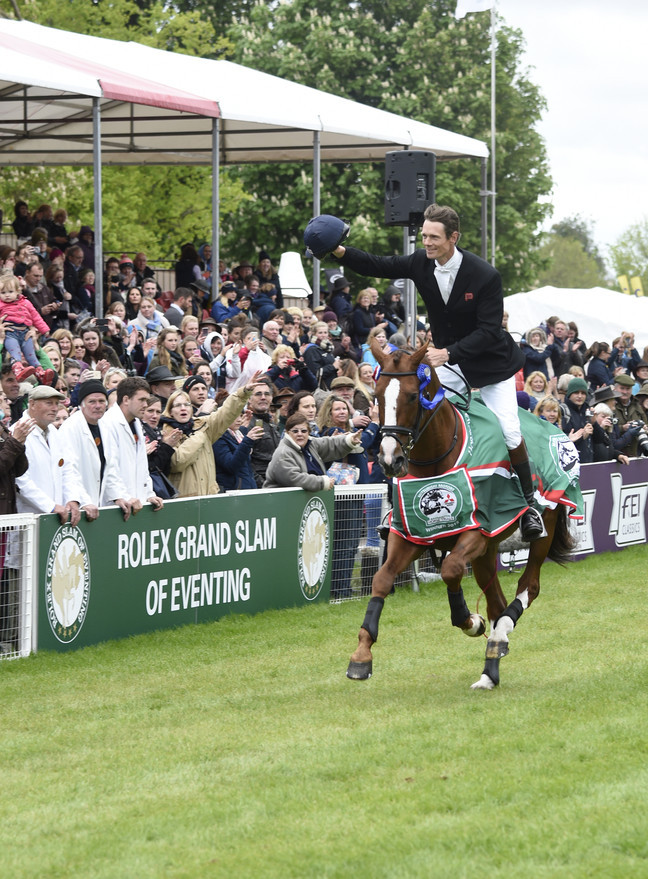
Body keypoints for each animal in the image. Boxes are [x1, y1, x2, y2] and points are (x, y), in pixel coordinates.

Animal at [346, 340, 576, 692]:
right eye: (377, 396)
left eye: (412, 396)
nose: (388, 459)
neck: (436, 459)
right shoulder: (410, 535)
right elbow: (382, 579)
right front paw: (361, 656)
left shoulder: (477, 532)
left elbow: (451, 570)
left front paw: (471, 621)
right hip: (488, 552)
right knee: (495, 599)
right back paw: (491, 665)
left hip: (540, 532)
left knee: (528, 586)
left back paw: (499, 635)